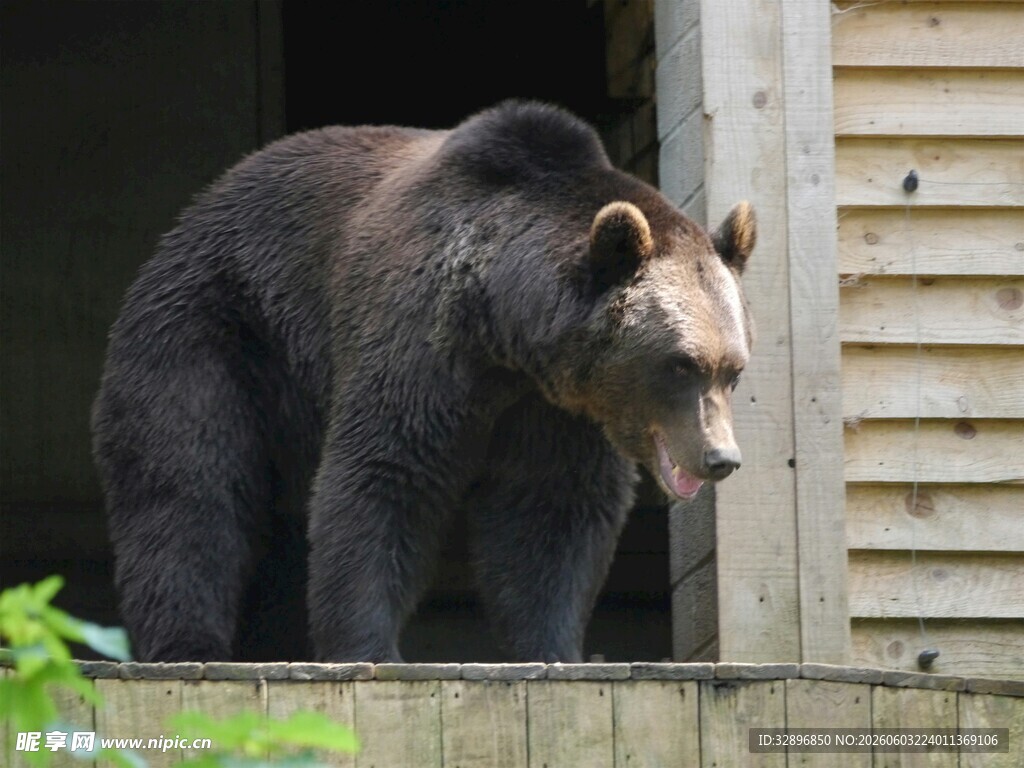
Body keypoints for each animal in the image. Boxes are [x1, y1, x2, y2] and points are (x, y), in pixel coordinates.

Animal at [91, 100, 755, 664]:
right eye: (680, 364)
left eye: (734, 368)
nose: (721, 457)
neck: (506, 328)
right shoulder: (420, 342)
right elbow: (385, 476)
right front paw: (367, 649)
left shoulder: (556, 409)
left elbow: (551, 511)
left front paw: (554, 648)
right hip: (217, 330)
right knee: (188, 482)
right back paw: (187, 644)